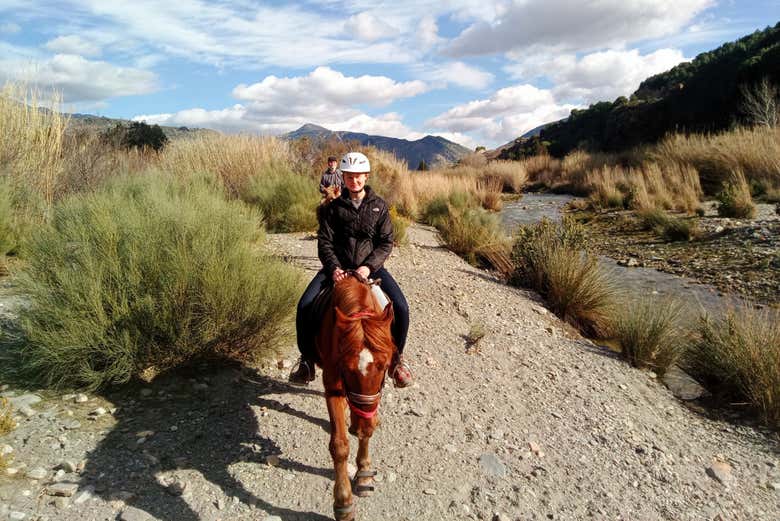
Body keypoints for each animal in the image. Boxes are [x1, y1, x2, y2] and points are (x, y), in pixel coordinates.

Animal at [314, 270, 396, 516]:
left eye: (384, 365)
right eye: (346, 367)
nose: (360, 426)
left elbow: (367, 430)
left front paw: (364, 474)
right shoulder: (332, 384)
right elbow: (339, 445)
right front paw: (343, 503)